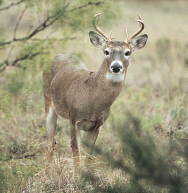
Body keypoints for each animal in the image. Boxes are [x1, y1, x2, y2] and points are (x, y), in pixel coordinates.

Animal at [43, 12, 148, 168]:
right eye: (106, 51)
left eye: (128, 52)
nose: (116, 67)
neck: (92, 102)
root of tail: (57, 55)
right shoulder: (74, 120)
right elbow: (76, 156)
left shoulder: (96, 125)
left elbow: (88, 157)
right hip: (48, 102)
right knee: (51, 144)